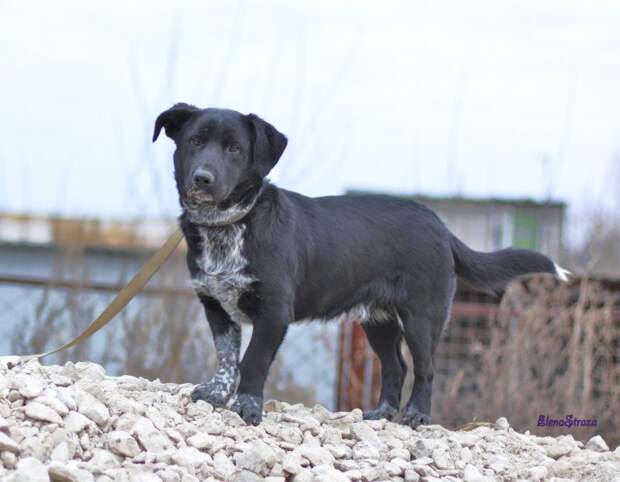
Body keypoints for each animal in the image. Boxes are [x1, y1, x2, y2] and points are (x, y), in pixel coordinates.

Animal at [151, 104, 568, 426]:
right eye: (195, 142)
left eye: (235, 148)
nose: (202, 179)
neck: (232, 223)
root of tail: (440, 225)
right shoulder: (216, 306)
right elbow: (227, 358)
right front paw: (217, 394)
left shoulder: (274, 313)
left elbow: (252, 361)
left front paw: (248, 408)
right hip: (377, 321)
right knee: (396, 367)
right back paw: (382, 413)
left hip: (423, 316)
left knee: (426, 368)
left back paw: (417, 415)